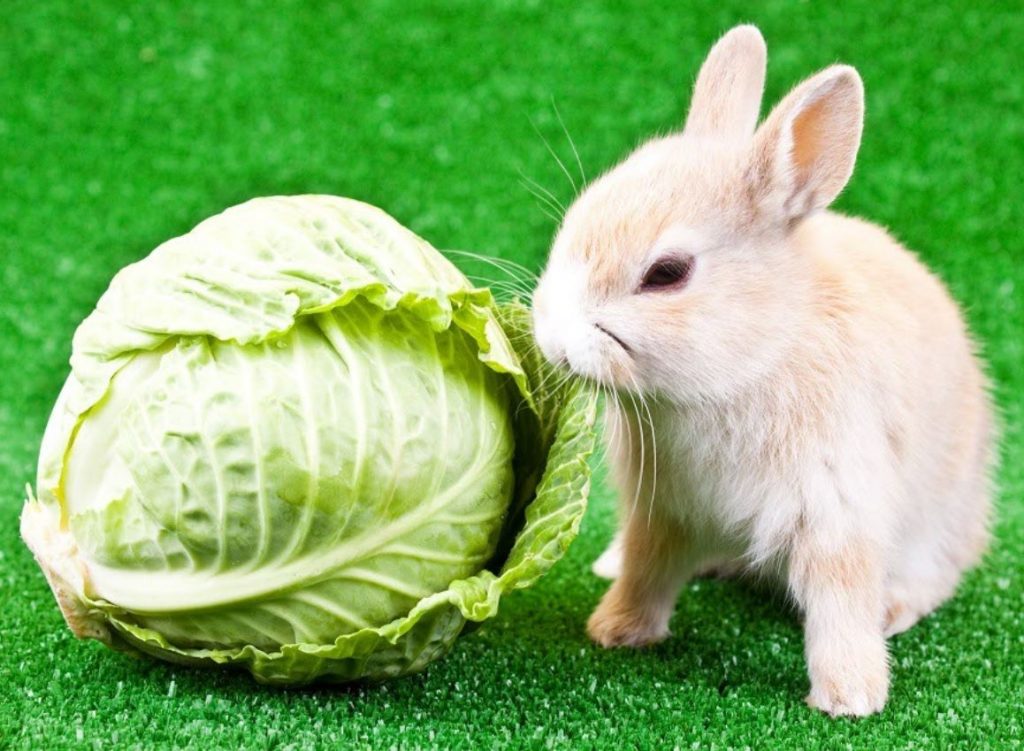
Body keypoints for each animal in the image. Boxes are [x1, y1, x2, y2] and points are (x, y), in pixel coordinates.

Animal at [530, 25, 995, 717]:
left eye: (667, 273)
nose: (554, 343)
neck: (750, 362)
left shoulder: (836, 509)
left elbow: (838, 603)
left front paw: (850, 697)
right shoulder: (662, 510)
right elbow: (647, 568)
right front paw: (616, 630)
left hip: (938, 521)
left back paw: (893, 610)